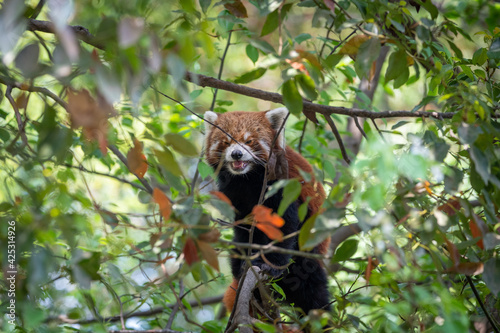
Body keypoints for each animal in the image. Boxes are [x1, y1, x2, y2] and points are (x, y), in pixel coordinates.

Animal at [205, 108, 330, 316]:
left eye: (249, 141)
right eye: (226, 142)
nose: (237, 154)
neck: (248, 178)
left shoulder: (282, 184)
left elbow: (283, 225)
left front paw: (270, 265)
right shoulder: (234, 193)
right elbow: (244, 228)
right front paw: (248, 261)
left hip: (307, 253)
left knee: (312, 289)